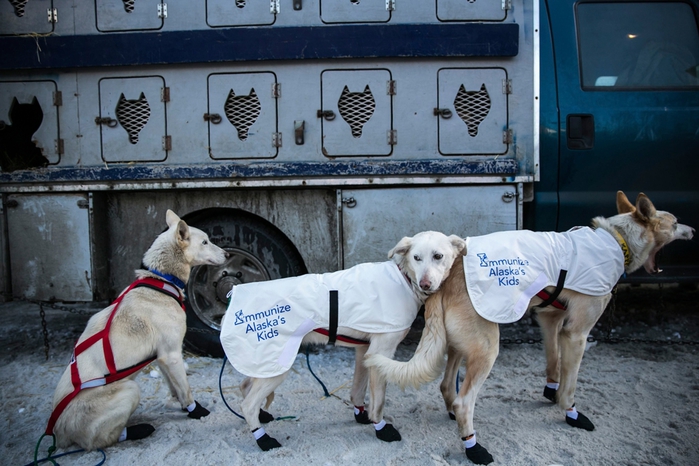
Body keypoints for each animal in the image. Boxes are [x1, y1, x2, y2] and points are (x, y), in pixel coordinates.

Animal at [46, 211, 227, 452]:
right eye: (205, 242)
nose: (227, 254)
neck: (161, 281)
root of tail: (59, 432)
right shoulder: (172, 355)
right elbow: (186, 390)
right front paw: (195, 410)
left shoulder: (162, 357)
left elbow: (175, 387)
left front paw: (181, 406)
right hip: (130, 389)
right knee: (100, 440)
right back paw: (139, 430)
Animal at [221, 231, 468, 450]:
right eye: (416, 257)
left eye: (438, 256)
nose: (426, 283)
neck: (403, 277)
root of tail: (233, 297)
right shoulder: (382, 352)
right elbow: (378, 401)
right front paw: (381, 428)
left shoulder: (365, 352)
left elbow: (357, 390)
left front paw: (361, 415)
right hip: (278, 364)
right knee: (247, 404)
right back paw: (263, 439)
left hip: (264, 362)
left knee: (245, 387)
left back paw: (261, 416)